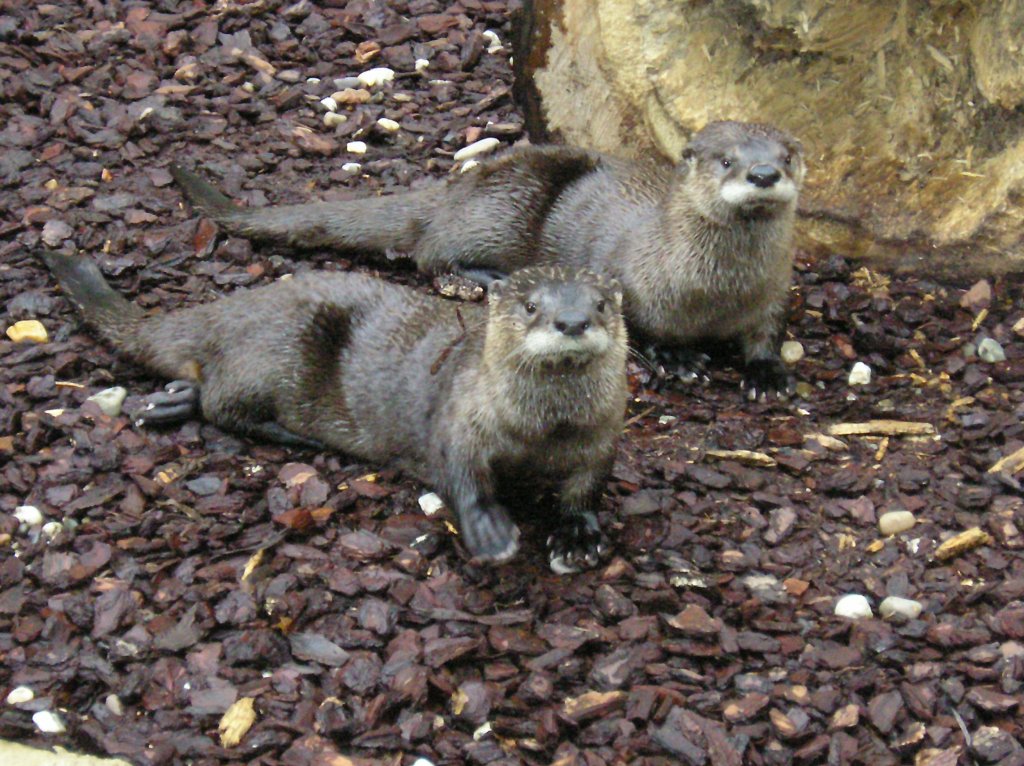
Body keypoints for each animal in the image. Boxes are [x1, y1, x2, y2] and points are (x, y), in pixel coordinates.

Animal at [172, 119, 802, 401]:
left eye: (789, 154)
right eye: (725, 160)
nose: (763, 172)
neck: (719, 290)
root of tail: (455, 187)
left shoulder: (774, 291)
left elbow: (768, 331)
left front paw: (767, 371)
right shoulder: (631, 274)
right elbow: (644, 323)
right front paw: (678, 357)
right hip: (506, 204)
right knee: (432, 252)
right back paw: (488, 276)